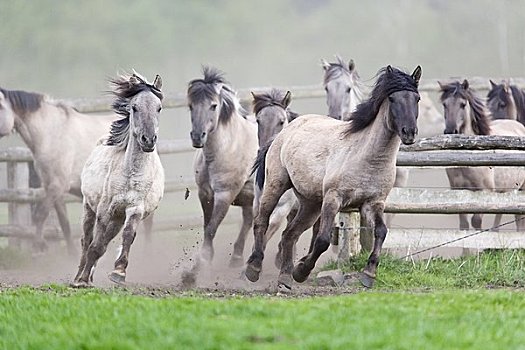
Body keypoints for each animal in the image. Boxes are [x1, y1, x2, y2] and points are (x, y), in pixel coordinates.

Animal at [70, 72, 163, 288]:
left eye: (159, 108)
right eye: (134, 107)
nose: (148, 140)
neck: (131, 174)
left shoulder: (135, 209)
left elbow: (127, 236)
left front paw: (119, 272)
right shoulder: (105, 210)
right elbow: (95, 245)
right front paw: (82, 280)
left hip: (117, 219)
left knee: (103, 241)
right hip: (89, 208)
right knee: (87, 240)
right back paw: (79, 276)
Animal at [186, 65, 258, 274]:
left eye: (213, 106)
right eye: (191, 106)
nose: (197, 137)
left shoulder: (225, 195)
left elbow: (211, 228)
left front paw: (200, 264)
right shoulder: (205, 193)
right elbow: (207, 227)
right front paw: (206, 259)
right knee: (248, 221)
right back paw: (236, 258)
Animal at [246, 65, 422, 290]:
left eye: (416, 98)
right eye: (392, 99)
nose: (409, 132)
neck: (367, 158)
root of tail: (284, 132)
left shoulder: (373, 203)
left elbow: (381, 232)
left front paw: (369, 273)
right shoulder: (333, 198)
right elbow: (322, 240)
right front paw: (302, 271)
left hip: (310, 203)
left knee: (289, 234)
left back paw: (285, 277)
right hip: (276, 186)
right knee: (262, 221)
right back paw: (254, 268)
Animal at [438, 80, 524, 231]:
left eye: (463, 104)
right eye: (444, 104)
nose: (450, 130)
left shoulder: (486, 192)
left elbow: (476, 221)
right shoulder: (458, 192)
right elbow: (464, 225)